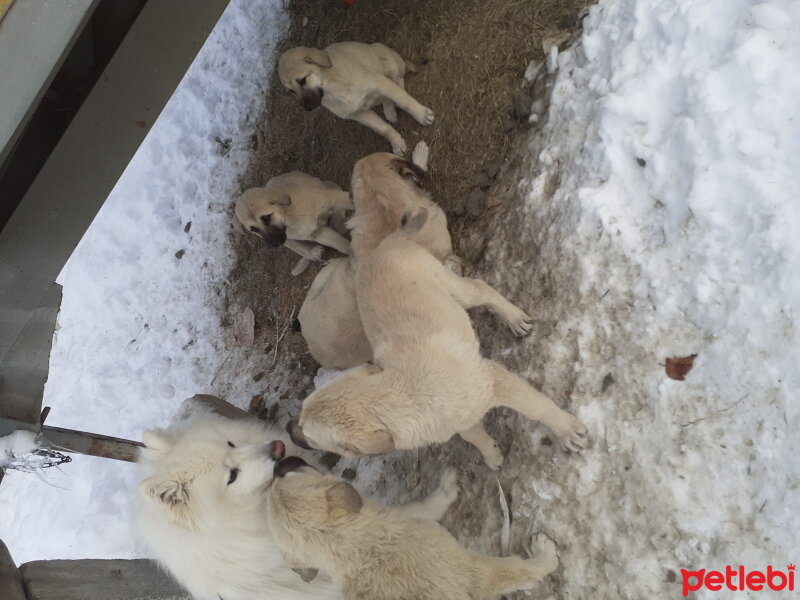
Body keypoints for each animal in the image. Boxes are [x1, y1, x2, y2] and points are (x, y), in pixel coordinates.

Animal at [266, 458, 560, 596]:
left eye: (285, 475)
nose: (278, 462)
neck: (359, 550)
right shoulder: (473, 572)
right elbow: (519, 570)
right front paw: (545, 556)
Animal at [278, 41, 434, 155]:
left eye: (302, 80)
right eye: (290, 91)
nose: (308, 109)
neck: (333, 87)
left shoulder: (379, 82)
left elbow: (404, 100)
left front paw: (422, 115)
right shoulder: (358, 114)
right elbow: (382, 128)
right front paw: (396, 143)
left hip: (387, 61)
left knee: (399, 81)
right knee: (384, 99)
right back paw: (389, 110)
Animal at [290, 207, 592, 468]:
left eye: (309, 435)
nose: (288, 429)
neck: (406, 393)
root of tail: (383, 246)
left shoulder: (495, 380)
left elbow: (537, 407)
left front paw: (566, 430)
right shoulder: (456, 420)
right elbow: (472, 434)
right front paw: (491, 453)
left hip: (449, 284)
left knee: (481, 290)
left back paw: (514, 318)